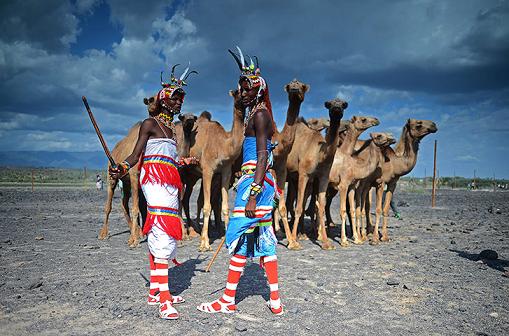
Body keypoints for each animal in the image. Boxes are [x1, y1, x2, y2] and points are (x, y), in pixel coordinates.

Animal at [282, 99, 350, 249]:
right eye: (330, 105)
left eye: (343, 105)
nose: (336, 109)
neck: (320, 155)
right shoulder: (304, 174)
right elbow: (299, 207)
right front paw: (293, 240)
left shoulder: (323, 177)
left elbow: (321, 207)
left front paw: (326, 243)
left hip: (293, 177)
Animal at [328, 115, 380, 247]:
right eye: (363, 119)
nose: (376, 120)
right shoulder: (343, 185)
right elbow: (342, 211)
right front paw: (344, 241)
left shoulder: (351, 186)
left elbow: (351, 210)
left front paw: (357, 239)